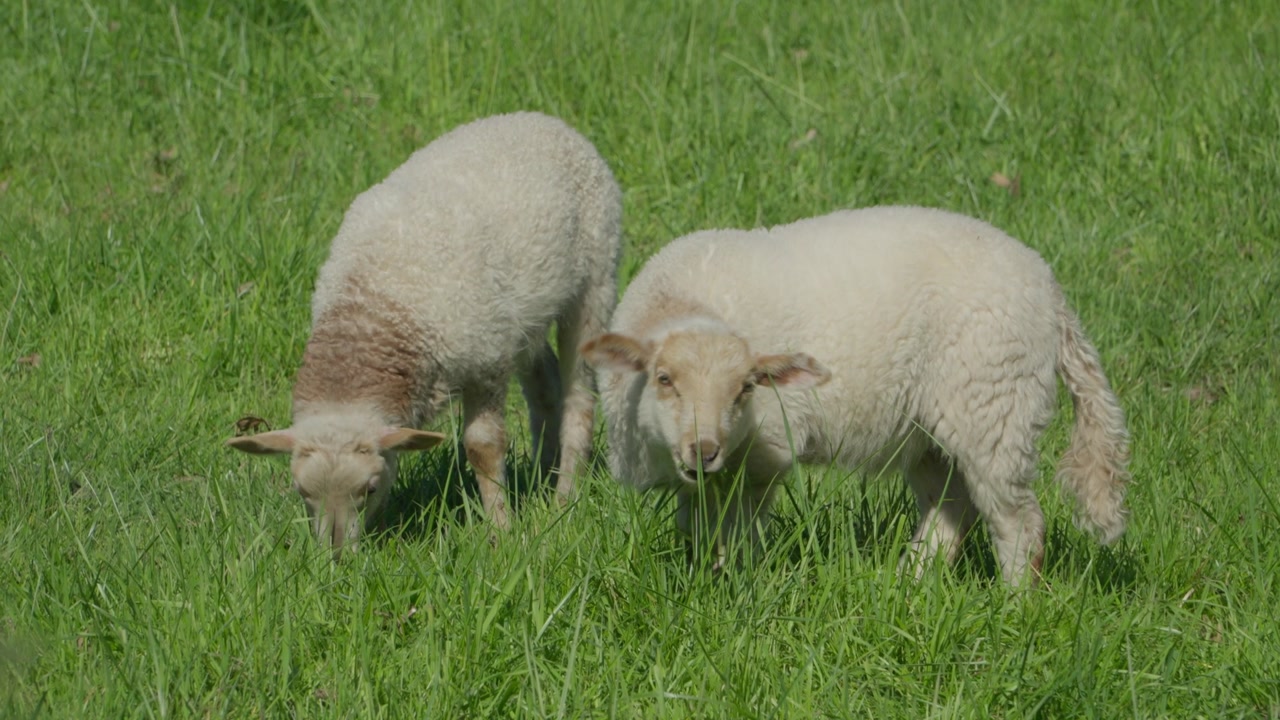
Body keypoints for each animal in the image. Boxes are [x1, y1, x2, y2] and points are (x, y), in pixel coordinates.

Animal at [226, 111, 622, 558]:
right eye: (301, 492)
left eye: (370, 488)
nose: (337, 556)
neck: (374, 307)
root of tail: (543, 119)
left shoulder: (486, 362)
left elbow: (482, 447)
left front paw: (501, 530)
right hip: (524, 318)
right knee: (546, 385)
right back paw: (543, 471)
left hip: (595, 280)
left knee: (579, 398)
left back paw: (565, 495)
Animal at [581, 206, 1130, 586]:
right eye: (664, 379)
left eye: (745, 389)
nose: (705, 449)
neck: (684, 301)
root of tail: (1052, 294)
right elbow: (694, 527)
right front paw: (698, 578)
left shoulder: (761, 456)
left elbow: (737, 534)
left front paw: (730, 585)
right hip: (931, 428)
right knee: (950, 505)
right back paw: (913, 582)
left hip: (996, 406)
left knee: (1020, 524)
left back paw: (1016, 604)